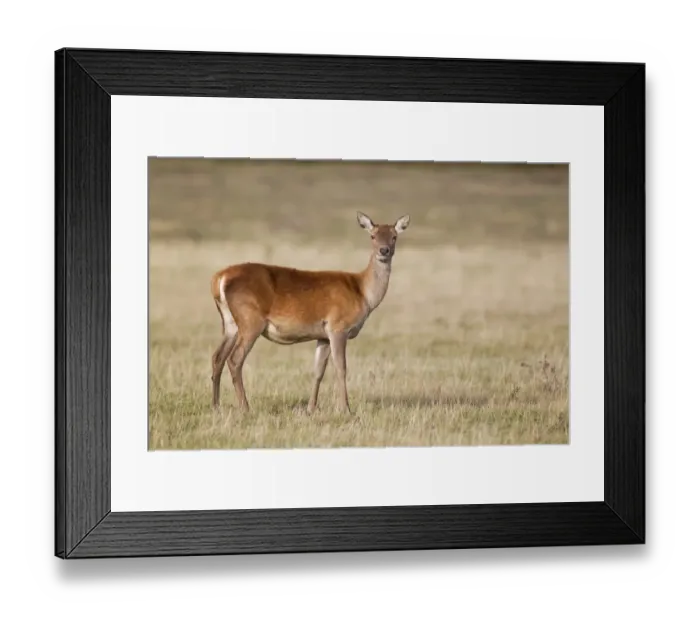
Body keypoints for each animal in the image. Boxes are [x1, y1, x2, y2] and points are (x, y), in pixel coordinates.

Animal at [209, 211, 411, 414]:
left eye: (394, 236)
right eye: (372, 236)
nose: (384, 250)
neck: (362, 292)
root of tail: (219, 278)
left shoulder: (322, 335)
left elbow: (318, 371)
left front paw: (311, 408)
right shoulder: (338, 327)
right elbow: (341, 368)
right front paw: (345, 408)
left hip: (230, 323)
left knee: (217, 357)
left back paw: (216, 406)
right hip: (250, 320)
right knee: (235, 359)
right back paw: (245, 407)